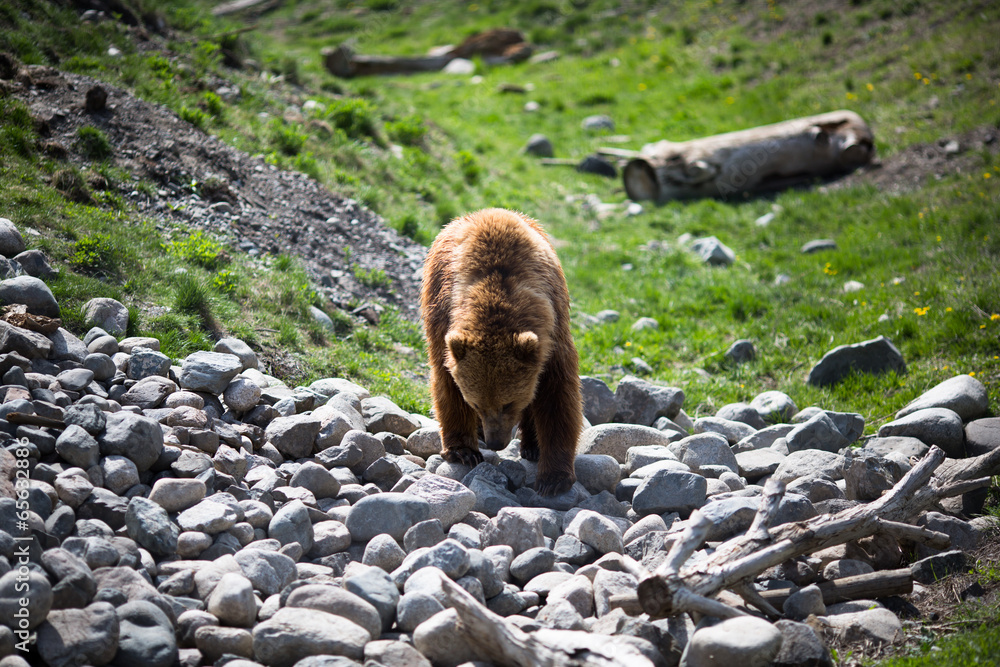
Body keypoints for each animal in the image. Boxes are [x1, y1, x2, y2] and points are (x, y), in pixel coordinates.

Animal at [420, 208, 583, 496]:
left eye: (509, 403)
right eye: (476, 403)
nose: (496, 442)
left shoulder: (552, 336)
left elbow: (558, 397)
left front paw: (554, 478)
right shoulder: (442, 320)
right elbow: (447, 385)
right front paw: (463, 451)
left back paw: (532, 445)